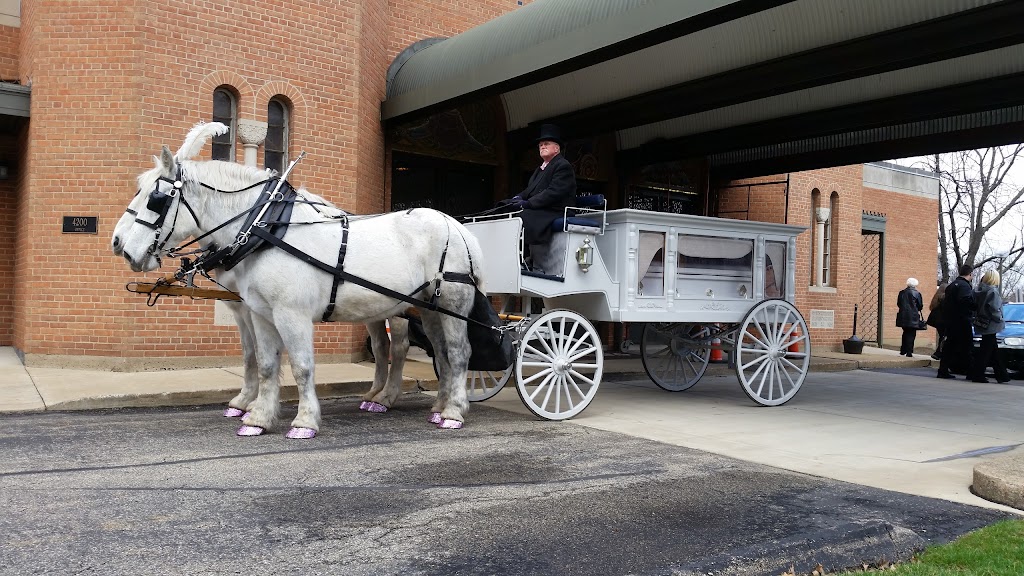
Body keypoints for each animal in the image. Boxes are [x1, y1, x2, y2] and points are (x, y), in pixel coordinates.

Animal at [114, 123, 481, 432]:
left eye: (155, 200)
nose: (119, 245)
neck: (265, 229)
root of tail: (459, 227)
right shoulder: (258, 313)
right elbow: (263, 362)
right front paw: (257, 416)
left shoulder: (292, 314)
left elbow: (301, 366)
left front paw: (304, 421)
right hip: (426, 308)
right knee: (434, 351)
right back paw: (434, 404)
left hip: (451, 304)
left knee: (455, 351)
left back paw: (452, 411)